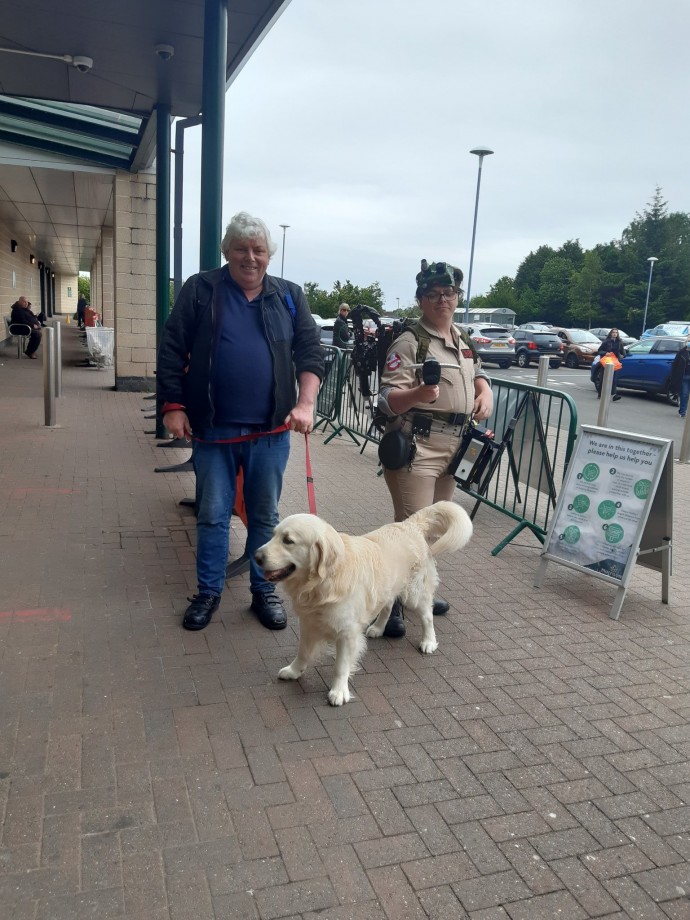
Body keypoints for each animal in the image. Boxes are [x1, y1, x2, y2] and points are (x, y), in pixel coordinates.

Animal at [254, 504, 472, 704]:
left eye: (288, 541)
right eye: (273, 535)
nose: (256, 557)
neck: (324, 582)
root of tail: (409, 524)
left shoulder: (347, 633)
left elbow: (341, 666)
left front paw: (339, 691)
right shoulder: (309, 623)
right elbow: (303, 652)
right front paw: (294, 671)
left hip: (415, 593)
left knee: (427, 615)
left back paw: (428, 641)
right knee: (388, 605)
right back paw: (378, 628)